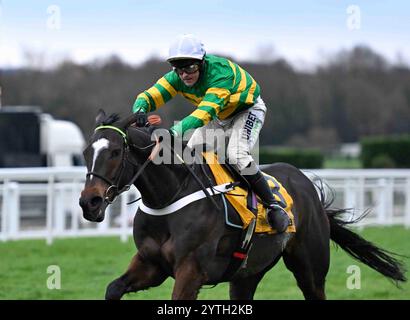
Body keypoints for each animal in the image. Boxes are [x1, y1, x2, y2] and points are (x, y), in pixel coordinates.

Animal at [78, 110, 406, 300]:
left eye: (116, 152)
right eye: (85, 152)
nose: (88, 202)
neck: (168, 199)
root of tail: (305, 182)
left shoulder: (191, 271)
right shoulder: (151, 264)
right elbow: (113, 289)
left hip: (310, 268)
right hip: (247, 273)